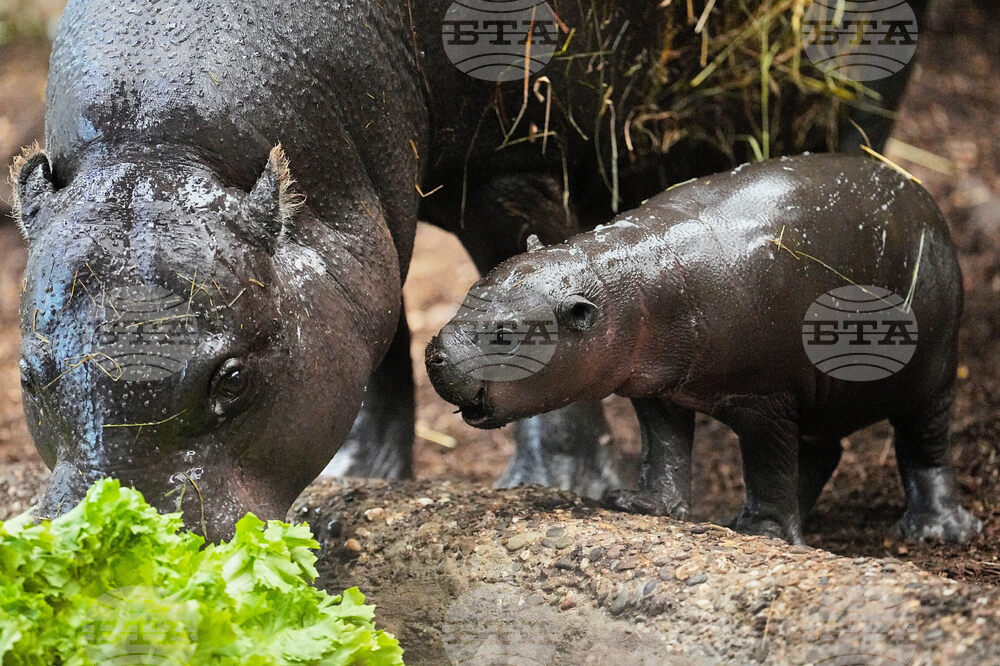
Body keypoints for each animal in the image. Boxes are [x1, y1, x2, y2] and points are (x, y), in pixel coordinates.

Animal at [12, 0, 927, 539]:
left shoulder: (506, 162)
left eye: (232, 377)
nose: (127, 537)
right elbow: (378, 330)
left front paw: (562, 483)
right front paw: (362, 474)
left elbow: (535, 286)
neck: (161, 145)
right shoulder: (368, 204)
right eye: (28, 375)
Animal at [426, 153, 982, 544]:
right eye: (471, 292)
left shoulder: (765, 399)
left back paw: (937, 531)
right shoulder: (657, 389)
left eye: (505, 333)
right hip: (823, 396)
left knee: (924, 446)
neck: (631, 284)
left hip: (932, 373)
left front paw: (762, 533)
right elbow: (664, 449)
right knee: (822, 452)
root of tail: (923, 195)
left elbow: (766, 465)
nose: (435, 354)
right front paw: (641, 504)